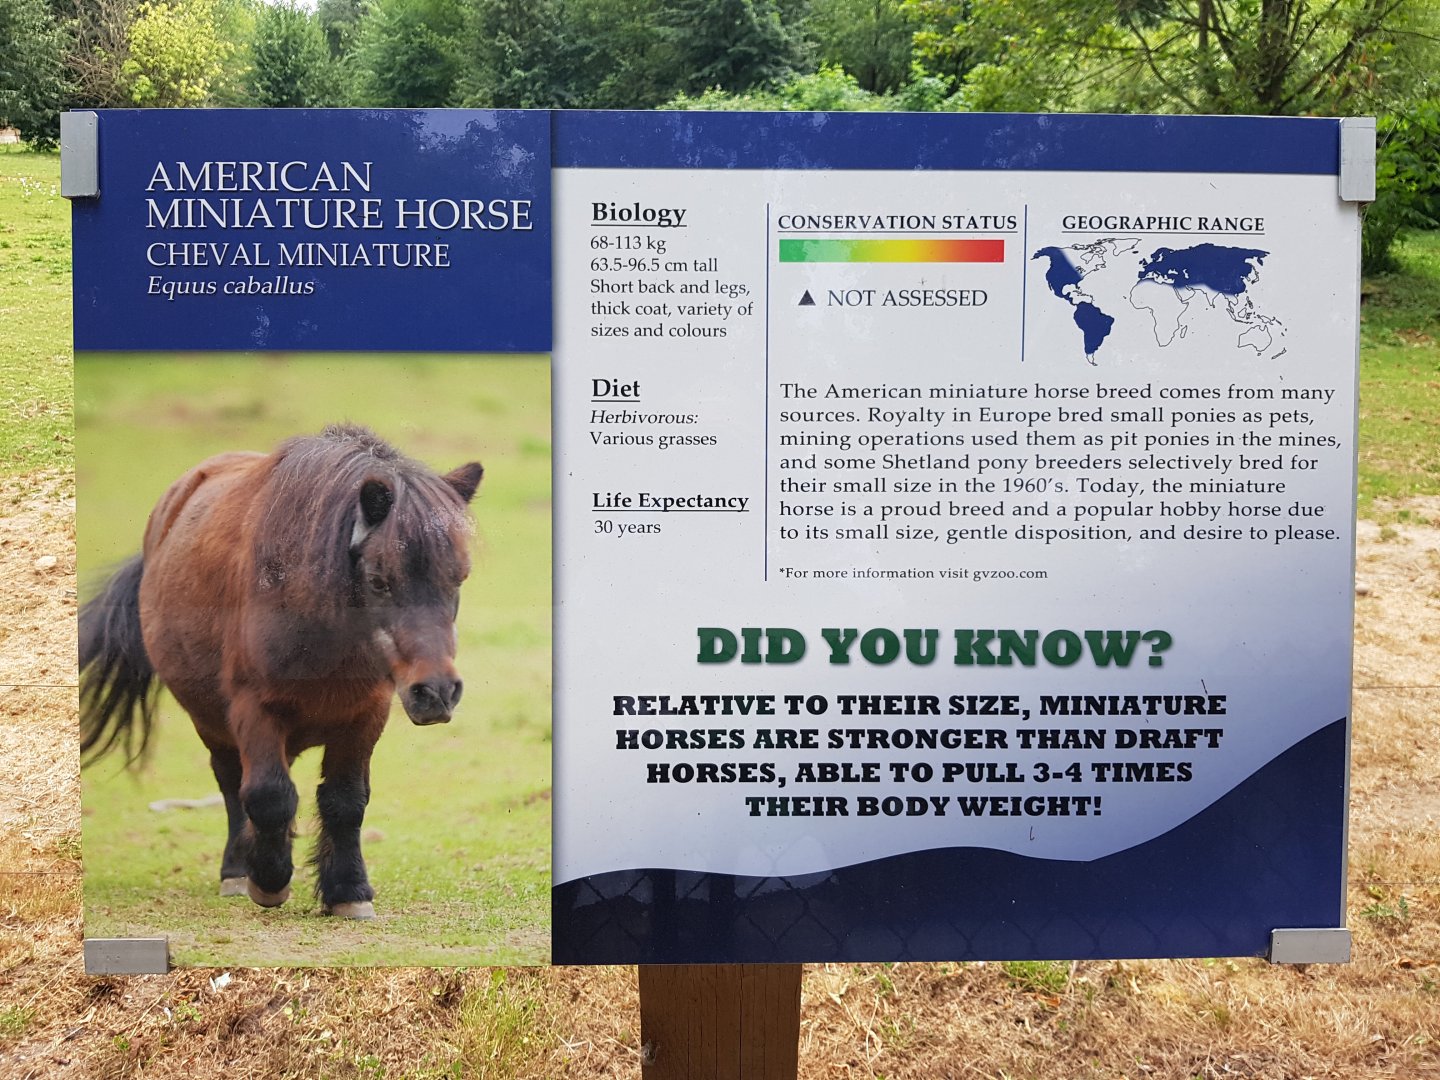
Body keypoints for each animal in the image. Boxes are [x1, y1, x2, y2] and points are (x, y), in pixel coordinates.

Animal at [79, 423, 483, 920]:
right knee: (233, 783)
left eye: (457, 578)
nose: (437, 692)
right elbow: (269, 796)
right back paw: (238, 870)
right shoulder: (254, 710)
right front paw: (269, 881)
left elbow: (346, 800)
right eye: (379, 581)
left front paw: (349, 890)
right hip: (211, 722)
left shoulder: (366, 715)